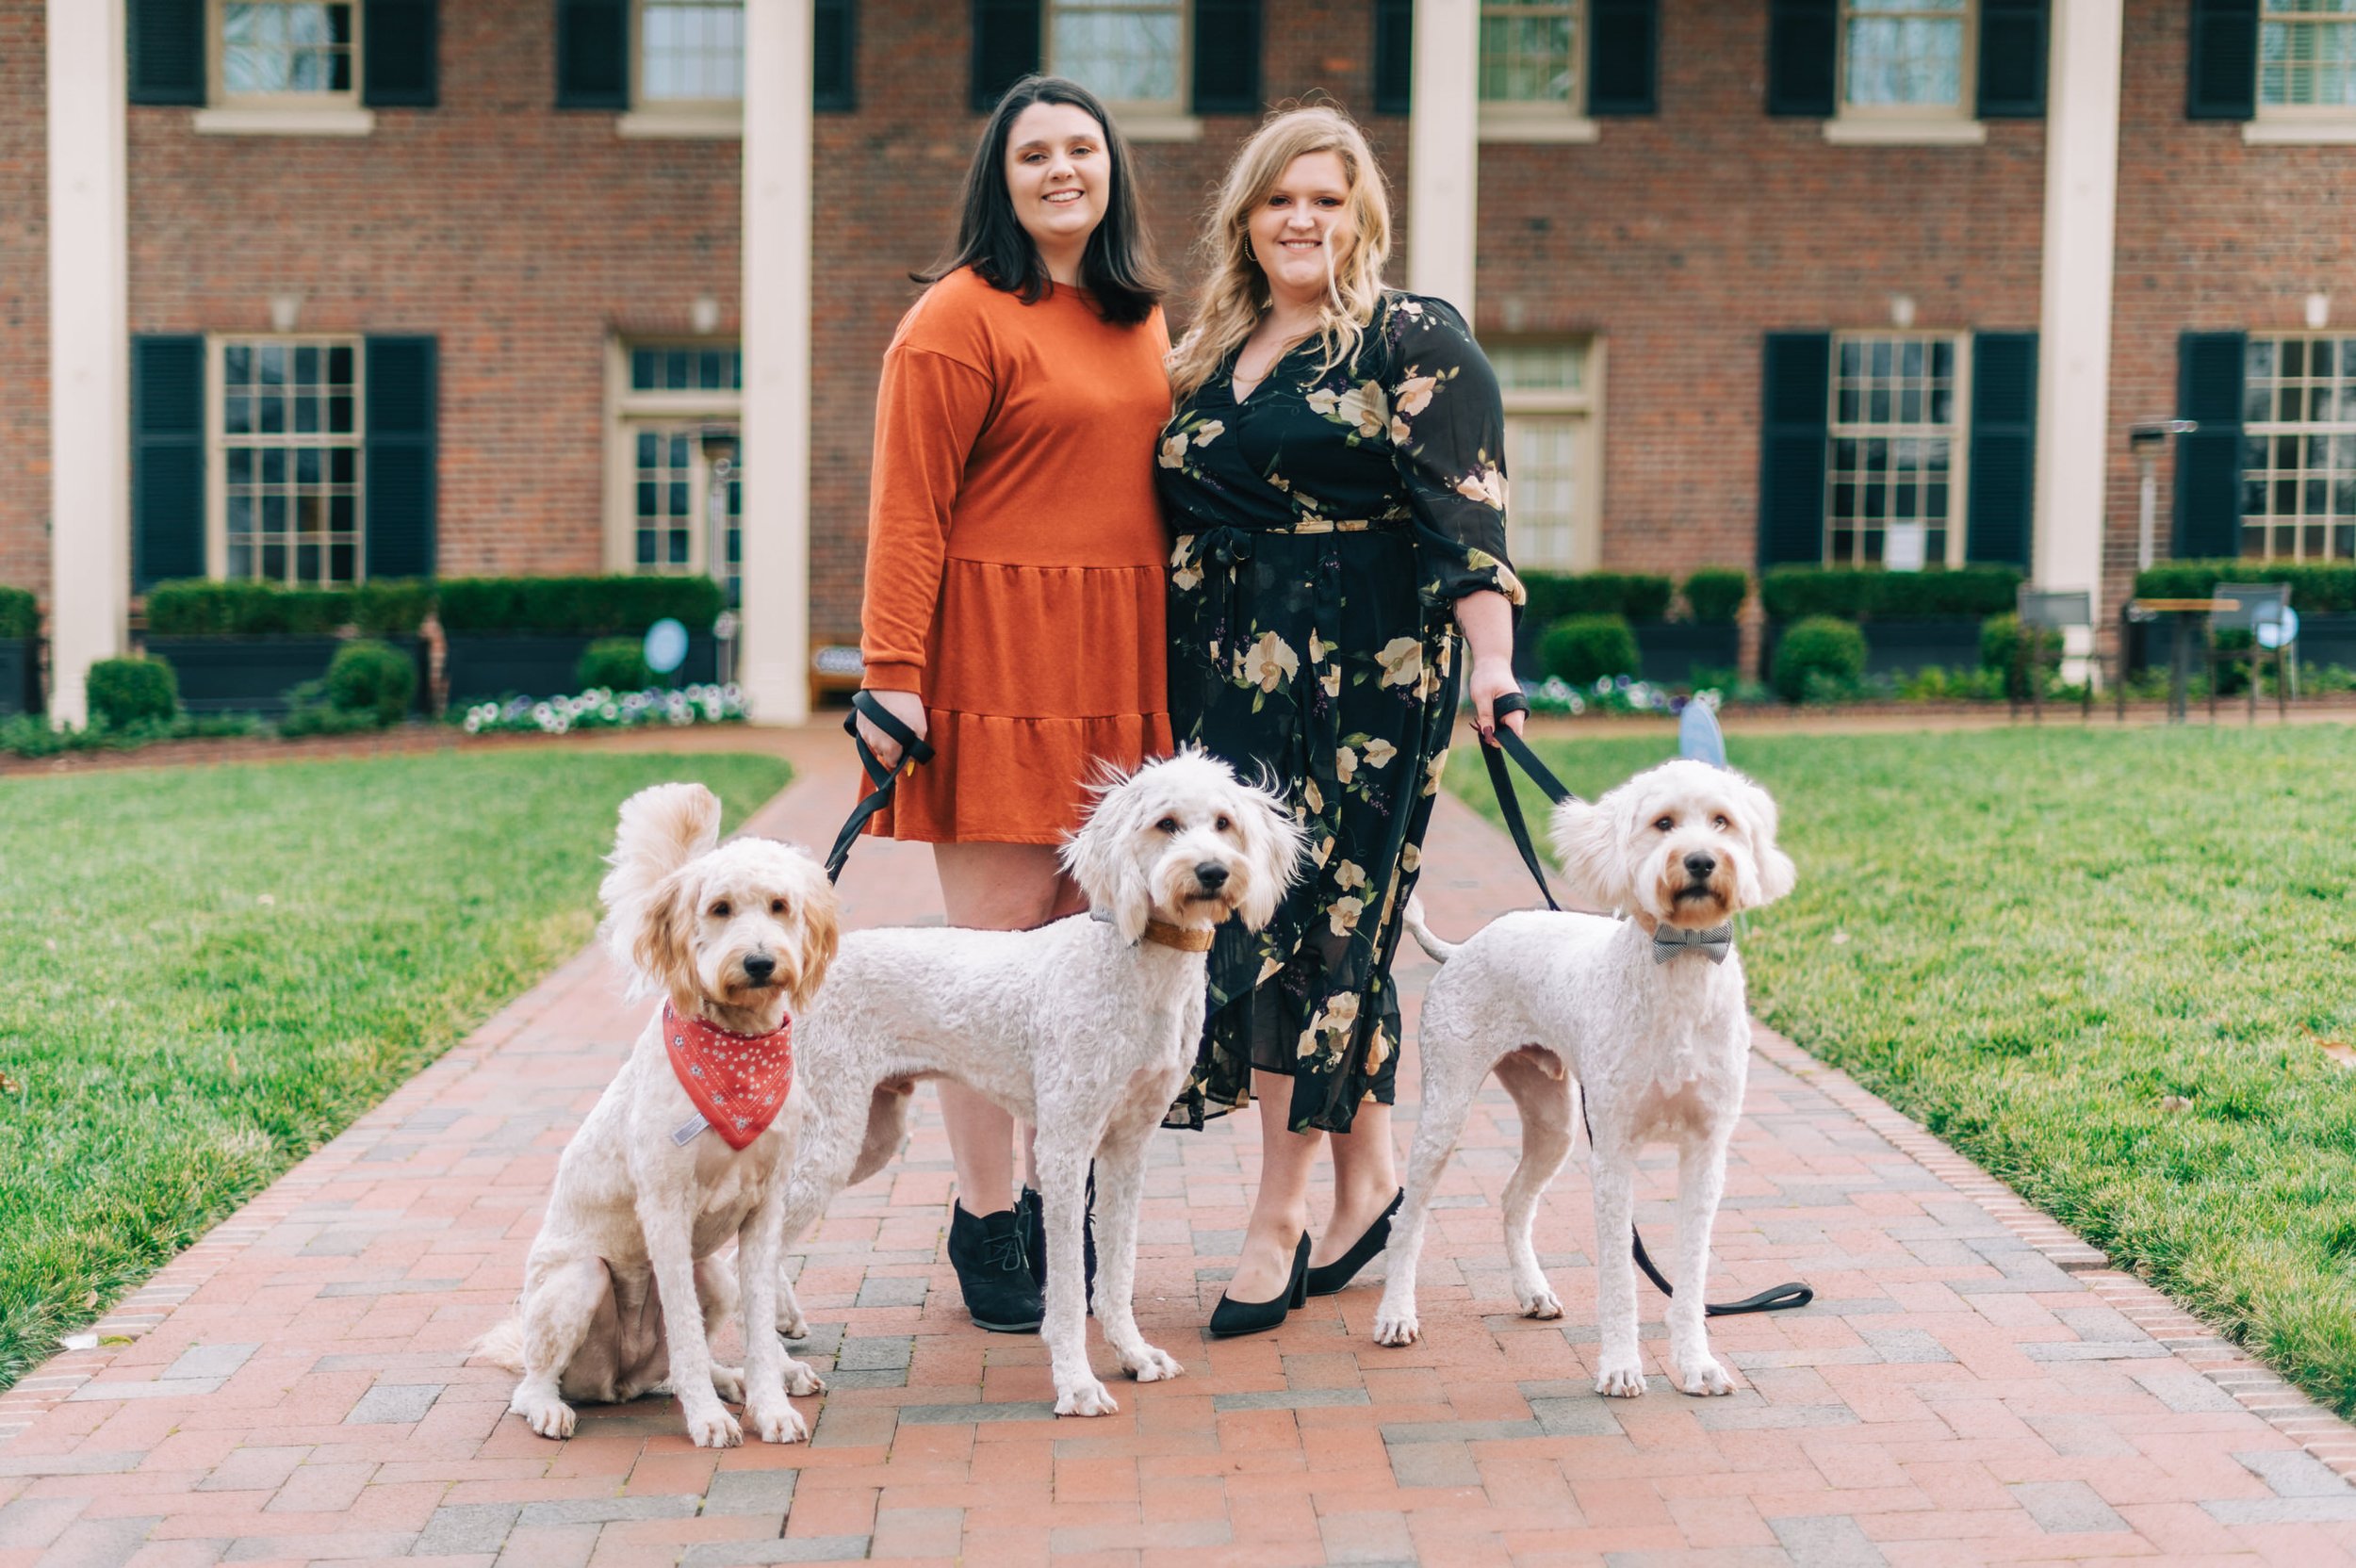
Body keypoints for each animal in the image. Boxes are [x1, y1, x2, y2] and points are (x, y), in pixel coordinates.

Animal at [483, 786, 843, 1450]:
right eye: (720, 908)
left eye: (779, 906)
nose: (759, 962)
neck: (737, 1050)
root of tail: (617, 1384)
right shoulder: (666, 1210)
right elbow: (685, 1328)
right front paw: (708, 1419)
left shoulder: (765, 1210)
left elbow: (757, 1325)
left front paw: (769, 1404)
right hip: (577, 1281)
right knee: (536, 1382)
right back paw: (552, 1406)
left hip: (713, 1277)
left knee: (676, 1363)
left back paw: (732, 1381)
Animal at [768, 748, 1301, 1413]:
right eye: (1166, 824)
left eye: (1225, 823)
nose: (1211, 872)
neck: (1130, 959)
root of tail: (795, 971)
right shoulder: (1066, 1147)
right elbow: (1070, 1288)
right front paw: (1077, 1383)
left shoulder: (1128, 1147)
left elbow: (1117, 1272)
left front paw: (1133, 1354)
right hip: (829, 1138)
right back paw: (768, 1373)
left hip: (868, 1136)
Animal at [1376, 753, 1791, 1394]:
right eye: (1664, 823)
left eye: (1722, 822)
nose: (1700, 861)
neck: (1681, 966)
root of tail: (1462, 947)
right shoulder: (1614, 1153)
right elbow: (1620, 1276)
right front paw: (1620, 1367)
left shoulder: (1706, 1152)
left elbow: (1691, 1272)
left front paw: (1695, 1364)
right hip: (1446, 1108)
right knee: (1408, 1217)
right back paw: (1397, 1314)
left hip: (1555, 1122)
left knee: (1514, 1200)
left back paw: (1532, 1292)